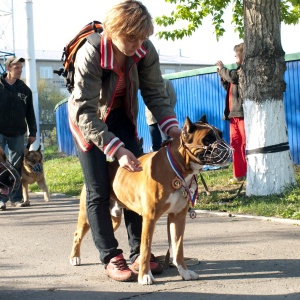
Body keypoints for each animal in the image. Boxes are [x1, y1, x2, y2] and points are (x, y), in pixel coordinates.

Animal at [70, 115, 232, 284]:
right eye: (208, 139)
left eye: (220, 134)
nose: (228, 147)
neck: (176, 167)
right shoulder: (150, 219)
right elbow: (146, 249)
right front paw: (145, 276)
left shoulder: (178, 218)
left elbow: (178, 248)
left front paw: (184, 272)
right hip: (87, 214)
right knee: (77, 234)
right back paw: (75, 258)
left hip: (114, 218)